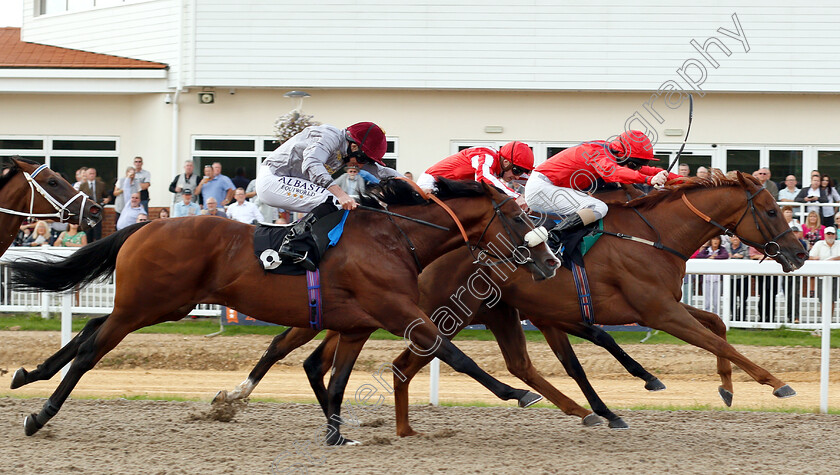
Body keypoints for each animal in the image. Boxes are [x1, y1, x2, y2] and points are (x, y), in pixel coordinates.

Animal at [6, 178, 560, 446]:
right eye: (518, 217)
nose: (551, 260)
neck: (394, 237)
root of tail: (143, 224)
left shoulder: (356, 325)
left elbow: (334, 379)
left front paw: (336, 433)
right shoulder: (397, 310)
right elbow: (454, 354)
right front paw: (519, 393)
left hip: (160, 304)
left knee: (90, 330)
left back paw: (27, 374)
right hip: (147, 304)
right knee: (92, 349)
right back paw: (39, 415)